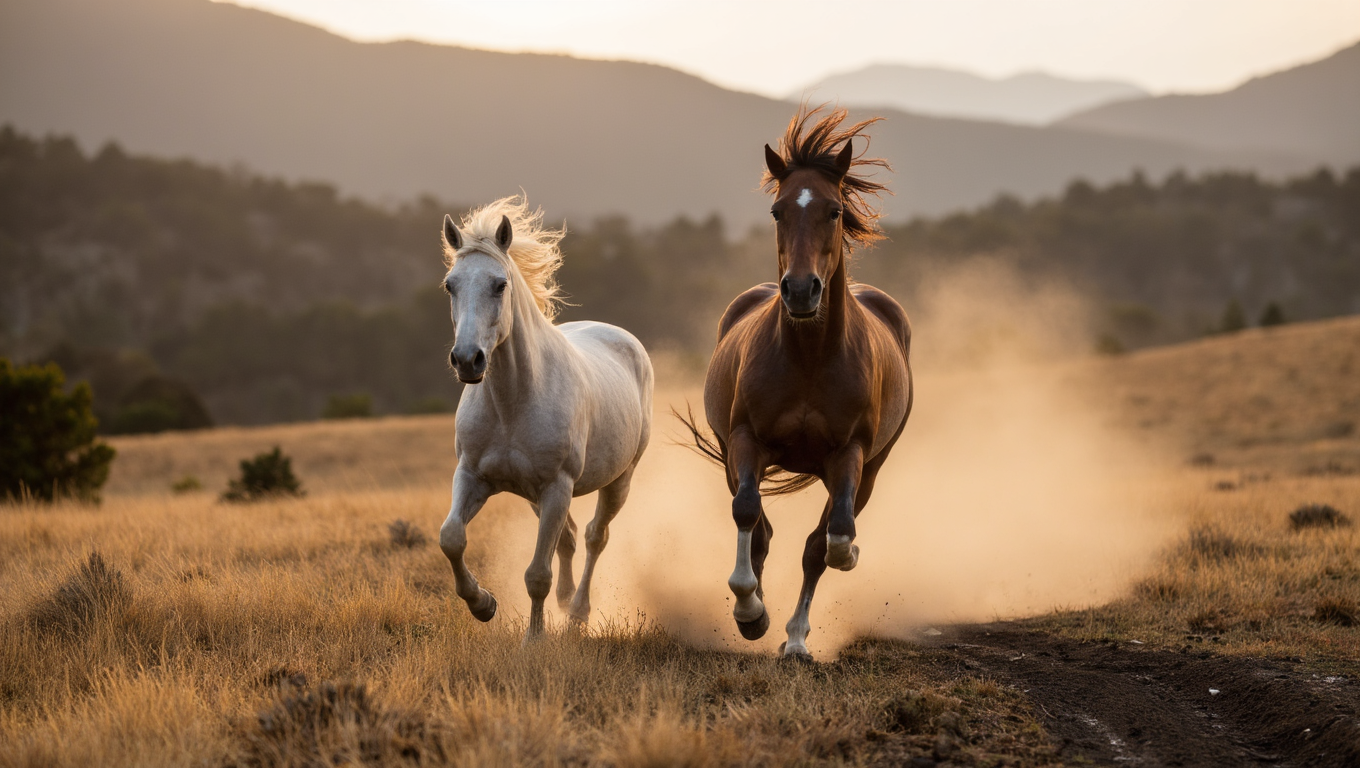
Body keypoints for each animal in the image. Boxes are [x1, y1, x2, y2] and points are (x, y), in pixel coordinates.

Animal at [436, 196, 653, 643]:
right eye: (451, 284)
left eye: (500, 284)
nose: (467, 360)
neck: (512, 404)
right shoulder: (473, 477)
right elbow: (451, 539)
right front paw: (483, 605)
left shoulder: (557, 486)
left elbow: (538, 573)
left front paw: (534, 639)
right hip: (537, 497)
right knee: (568, 540)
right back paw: (566, 602)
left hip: (616, 481)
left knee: (594, 538)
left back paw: (578, 613)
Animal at [681, 107, 913, 659]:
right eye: (777, 211)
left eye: (834, 210)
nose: (802, 290)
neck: (809, 358)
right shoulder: (746, 440)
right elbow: (749, 516)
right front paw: (749, 610)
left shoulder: (850, 455)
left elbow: (831, 540)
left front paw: (844, 562)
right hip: (732, 454)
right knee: (760, 526)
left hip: (871, 468)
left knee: (817, 542)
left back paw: (796, 640)